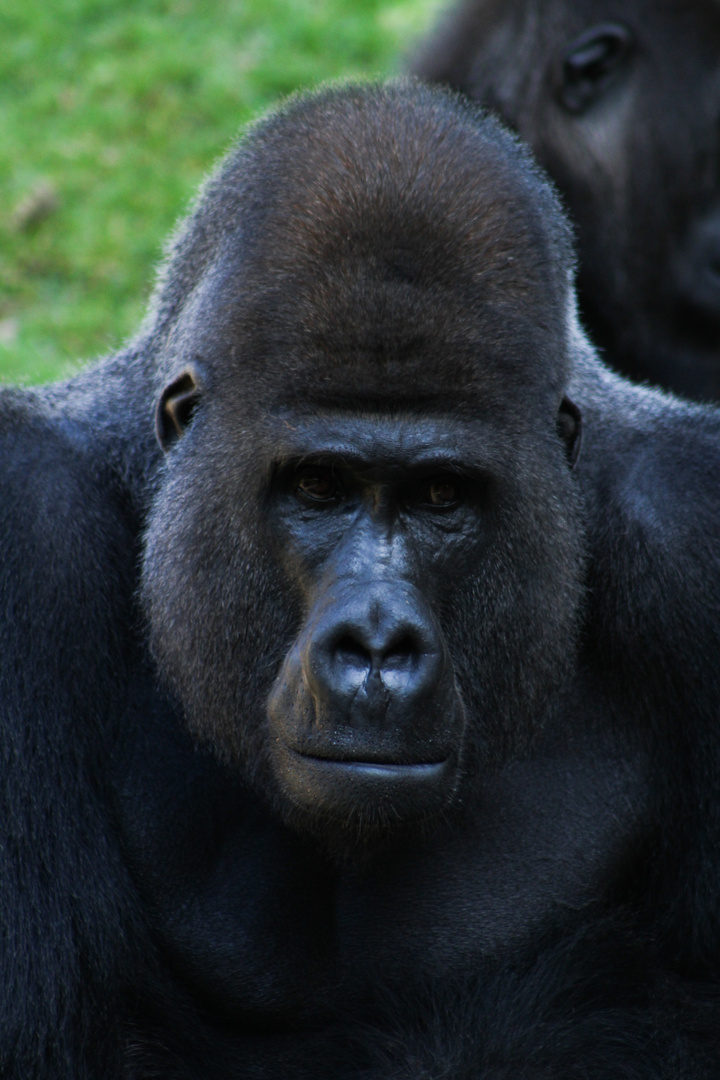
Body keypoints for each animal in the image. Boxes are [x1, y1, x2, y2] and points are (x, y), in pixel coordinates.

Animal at [1, 78, 720, 1080]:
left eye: (441, 494)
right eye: (319, 486)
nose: (378, 646)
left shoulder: (692, 527)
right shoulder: (25, 523)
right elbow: (58, 1036)